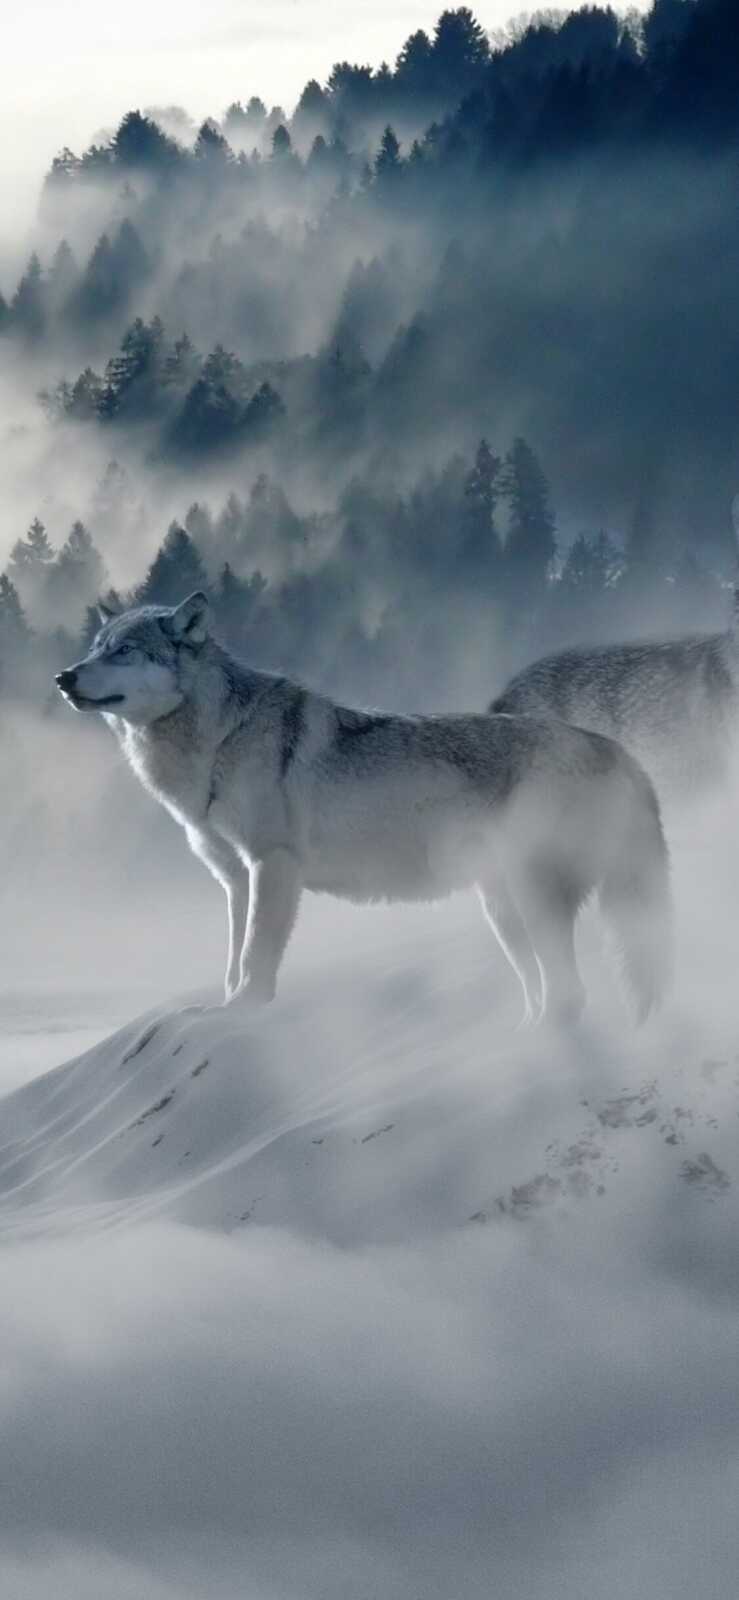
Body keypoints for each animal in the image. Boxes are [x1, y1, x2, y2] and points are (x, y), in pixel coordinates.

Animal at [55, 592, 672, 1026]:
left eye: (124, 651)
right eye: (95, 647)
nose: (63, 677)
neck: (218, 740)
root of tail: (618, 752)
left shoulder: (272, 865)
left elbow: (254, 958)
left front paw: (245, 1012)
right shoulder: (235, 878)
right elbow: (231, 961)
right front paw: (221, 1009)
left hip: (531, 899)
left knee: (571, 995)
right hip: (502, 912)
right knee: (546, 992)